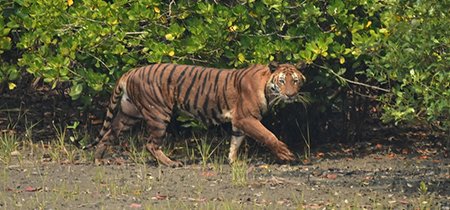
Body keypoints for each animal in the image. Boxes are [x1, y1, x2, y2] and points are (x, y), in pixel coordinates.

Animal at [80, 60, 306, 166]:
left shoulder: (239, 122)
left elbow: (235, 142)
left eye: (295, 80)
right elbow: (268, 135)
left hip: (129, 113)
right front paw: (285, 154)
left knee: (109, 133)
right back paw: (171, 163)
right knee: (151, 143)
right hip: (158, 113)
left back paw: (99, 159)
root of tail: (130, 72)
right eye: (282, 81)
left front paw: (233, 161)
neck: (267, 88)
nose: (291, 95)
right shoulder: (246, 118)